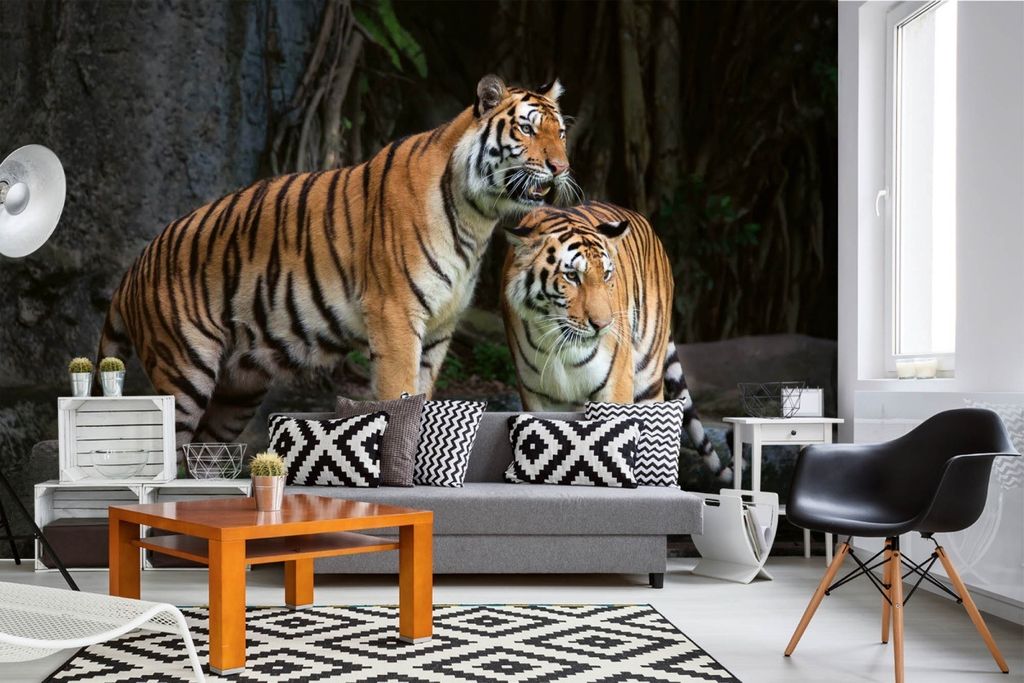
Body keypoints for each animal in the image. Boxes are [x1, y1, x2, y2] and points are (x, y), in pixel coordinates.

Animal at [98, 75, 572, 447]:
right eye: (527, 129)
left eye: (562, 133)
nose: (561, 167)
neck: (478, 216)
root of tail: (133, 268)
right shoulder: (395, 315)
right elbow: (399, 395)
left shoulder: (440, 328)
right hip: (184, 373)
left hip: (238, 390)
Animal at [500, 201, 729, 481]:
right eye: (572, 276)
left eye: (607, 275)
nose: (603, 325)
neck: (560, 346)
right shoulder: (536, 395)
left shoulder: (616, 385)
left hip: (648, 378)